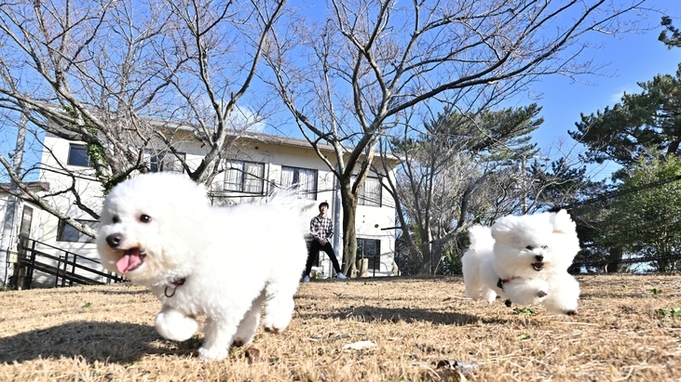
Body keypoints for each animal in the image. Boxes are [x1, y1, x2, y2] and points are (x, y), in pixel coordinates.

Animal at [95, 172, 308, 362]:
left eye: (145, 218)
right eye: (114, 219)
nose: (112, 239)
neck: (195, 254)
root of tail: (279, 210)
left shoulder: (225, 303)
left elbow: (218, 329)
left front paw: (211, 353)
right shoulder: (177, 301)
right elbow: (164, 322)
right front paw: (186, 328)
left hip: (281, 274)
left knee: (281, 297)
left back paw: (275, 322)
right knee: (252, 312)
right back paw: (242, 336)